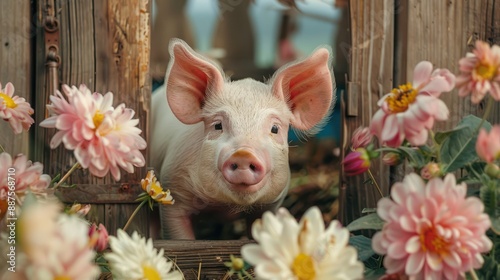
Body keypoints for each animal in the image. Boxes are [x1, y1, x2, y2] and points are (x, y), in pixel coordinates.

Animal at [149, 36, 336, 238]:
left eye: (275, 129)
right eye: (218, 125)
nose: (243, 154)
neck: (224, 207)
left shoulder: (271, 204)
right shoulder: (173, 191)